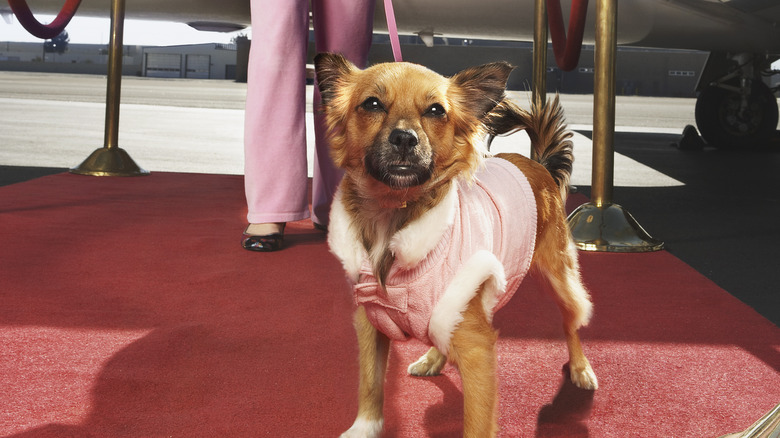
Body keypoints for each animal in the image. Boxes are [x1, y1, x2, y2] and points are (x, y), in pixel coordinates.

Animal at [316, 53, 596, 436]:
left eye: (436, 111)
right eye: (372, 104)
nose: (404, 138)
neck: (395, 214)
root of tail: (537, 165)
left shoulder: (477, 349)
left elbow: (477, 423)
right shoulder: (372, 323)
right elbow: (370, 383)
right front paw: (364, 428)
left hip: (558, 277)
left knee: (572, 320)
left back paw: (581, 368)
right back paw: (433, 358)